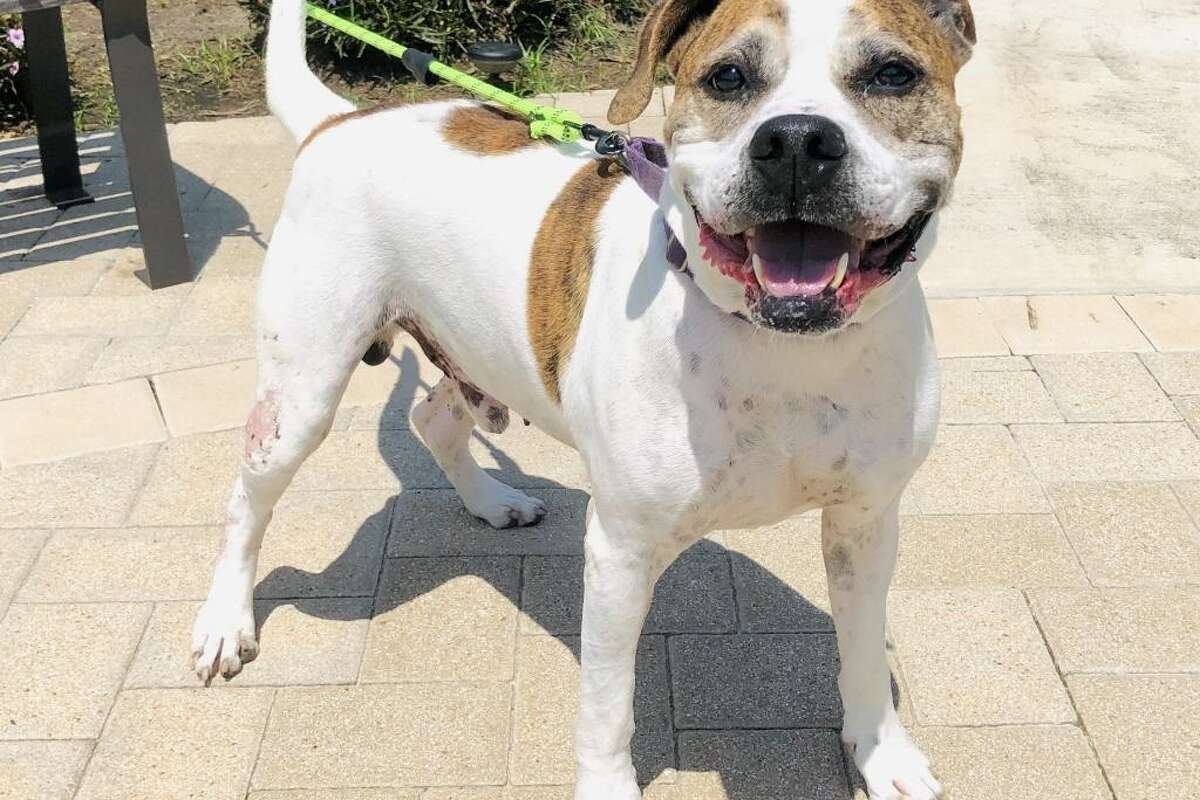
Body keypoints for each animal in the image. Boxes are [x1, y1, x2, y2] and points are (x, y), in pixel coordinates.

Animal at [189, 0, 974, 796]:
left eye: (893, 73)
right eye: (728, 77)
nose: (795, 142)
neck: (782, 345)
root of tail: (338, 120)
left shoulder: (865, 524)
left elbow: (865, 654)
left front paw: (881, 756)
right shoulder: (621, 551)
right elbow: (607, 702)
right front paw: (607, 782)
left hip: (471, 348)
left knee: (432, 416)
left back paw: (493, 500)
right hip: (303, 393)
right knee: (245, 502)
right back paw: (226, 621)